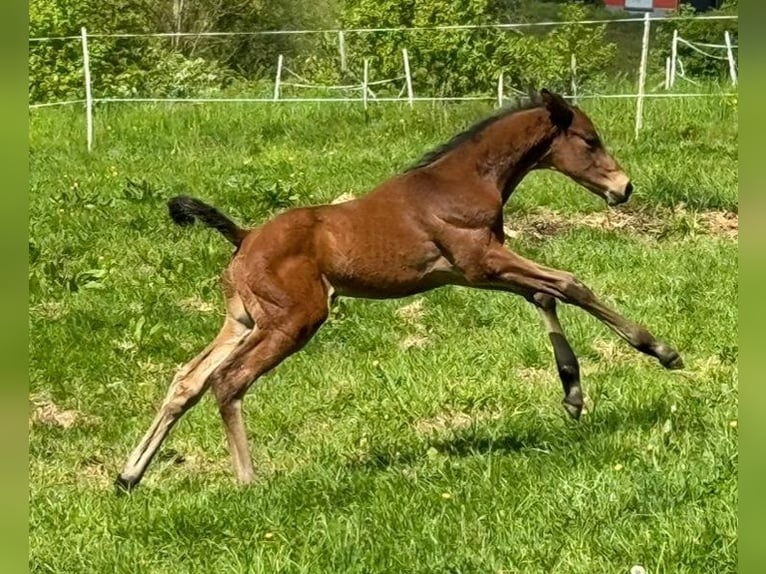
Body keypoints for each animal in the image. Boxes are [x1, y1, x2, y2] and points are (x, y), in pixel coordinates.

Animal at [118, 89, 684, 490]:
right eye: (589, 140)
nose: (623, 188)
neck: (461, 181)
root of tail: (243, 238)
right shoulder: (481, 261)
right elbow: (570, 284)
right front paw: (660, 350)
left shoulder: (474, 270)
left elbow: (546, 295)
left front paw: (573, 394)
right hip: (293, 319)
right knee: (228, 381)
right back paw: (248, 480)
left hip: (243, 319)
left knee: (187, 380)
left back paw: (129, 476)